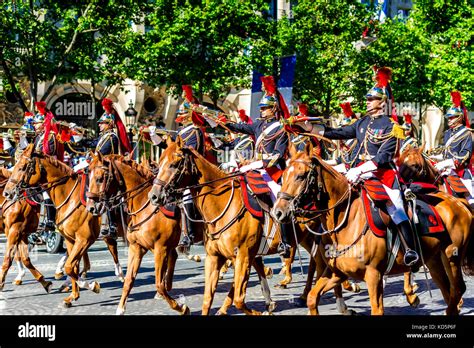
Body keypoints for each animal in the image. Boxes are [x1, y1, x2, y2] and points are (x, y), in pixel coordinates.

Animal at [2, 144, 124, 308]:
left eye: (22, 167)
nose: (7, 193)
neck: (70, 197)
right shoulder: (69, 238)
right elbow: (71, 266)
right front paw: (72, 295)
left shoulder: (15, 230)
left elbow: (9, 259)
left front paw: (91, 286)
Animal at [272, 141, 472, 316]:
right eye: (283, 176)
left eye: (301, 176)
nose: (278, 212)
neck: (347, 221)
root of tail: (458, 202)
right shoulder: (338, 273)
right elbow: (313, 298)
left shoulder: (373, 275)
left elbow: (377, 309)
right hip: (433, 260)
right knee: (448, 290)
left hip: (451, 256)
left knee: (457, 289)